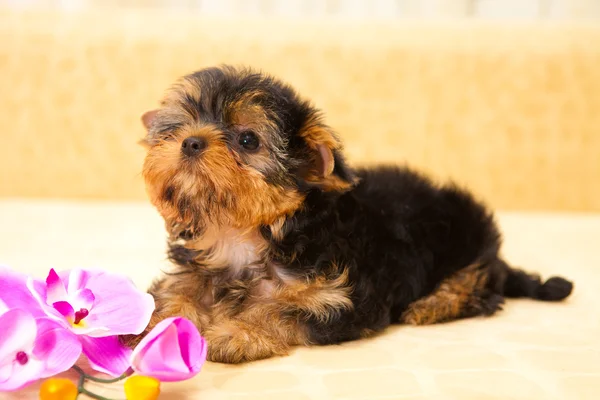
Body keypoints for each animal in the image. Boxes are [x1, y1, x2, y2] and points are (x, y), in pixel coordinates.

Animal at [134, 65, 576, 362]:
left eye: (247, 140)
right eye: (176, 127)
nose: (190, 142)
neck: (245, 235)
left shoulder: (343, 298)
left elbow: (286, 308)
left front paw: (238, 332)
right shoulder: (195, 269)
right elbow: (177, 291)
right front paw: (157, 322)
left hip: (470, 235)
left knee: (482, 285)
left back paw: (434, 303)